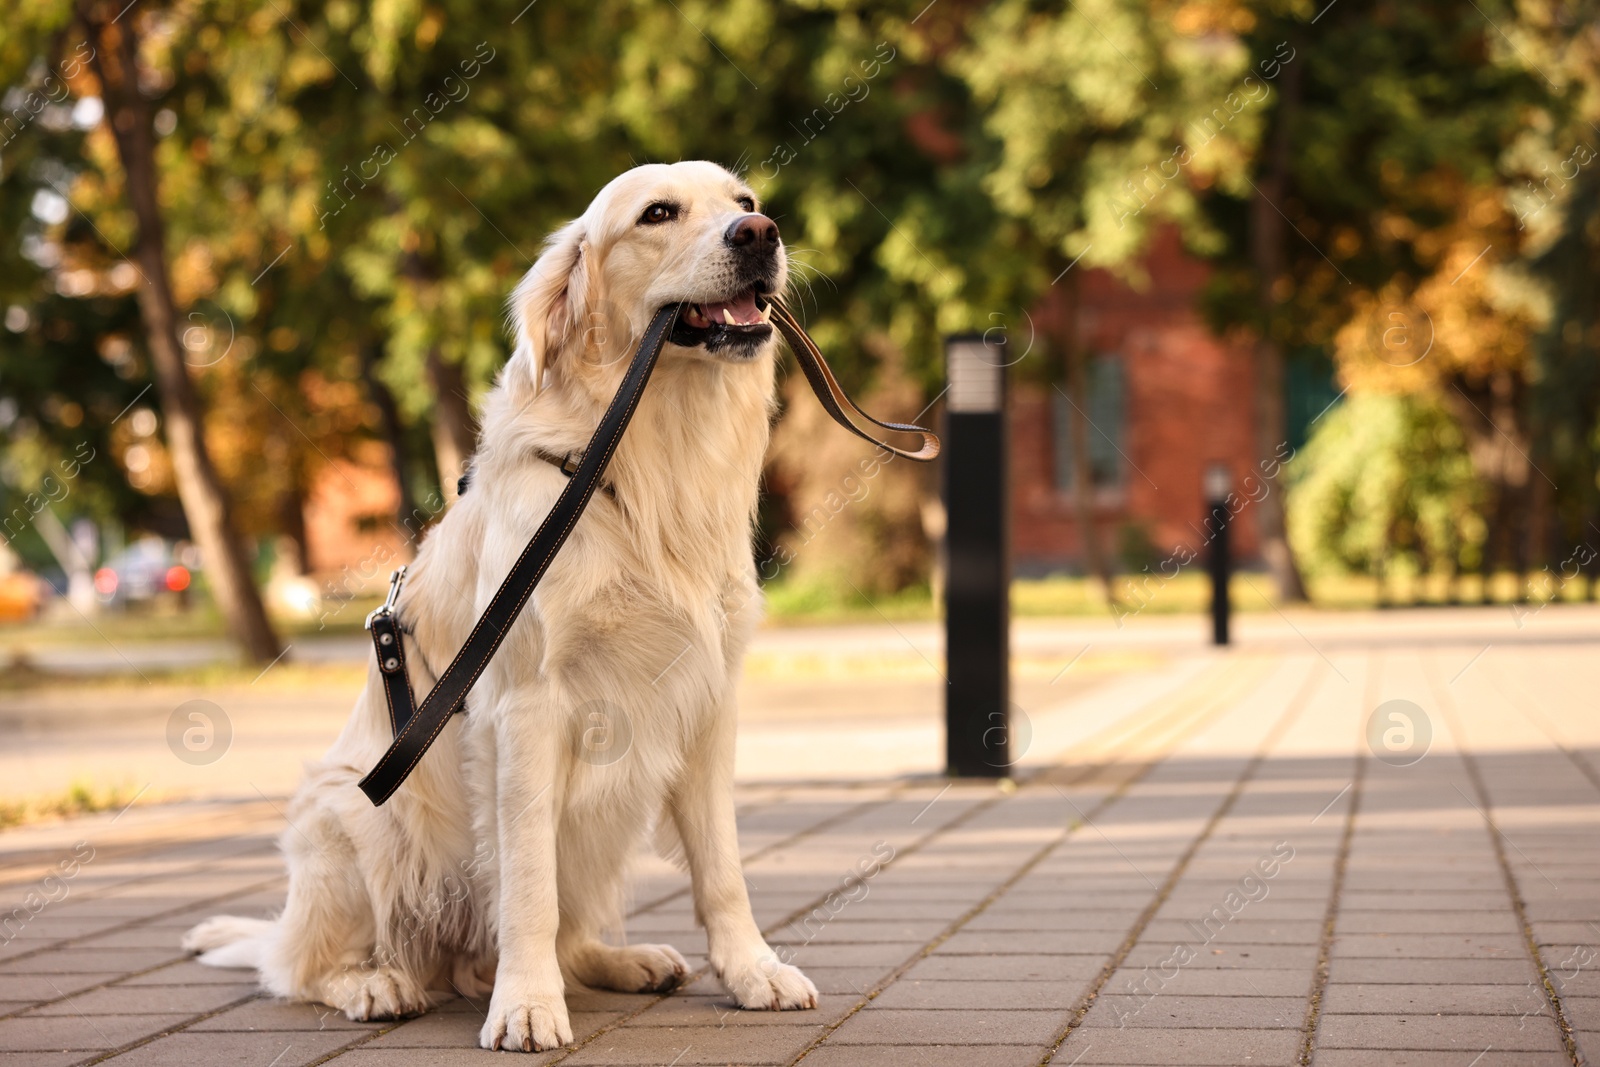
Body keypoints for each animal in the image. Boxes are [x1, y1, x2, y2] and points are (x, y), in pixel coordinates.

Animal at [181, 160, 819, 1049]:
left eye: (746, 203)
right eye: (658, 214)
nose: (760, 236)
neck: (639, 463)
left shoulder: (706, 699)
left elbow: (722, 866)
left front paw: (753, 969)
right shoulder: (527, 705)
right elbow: (527, 881)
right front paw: (526, 1004)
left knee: (562, 932)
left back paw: (627, 959)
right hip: (354, 814)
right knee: (297, 967)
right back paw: (374, 983)